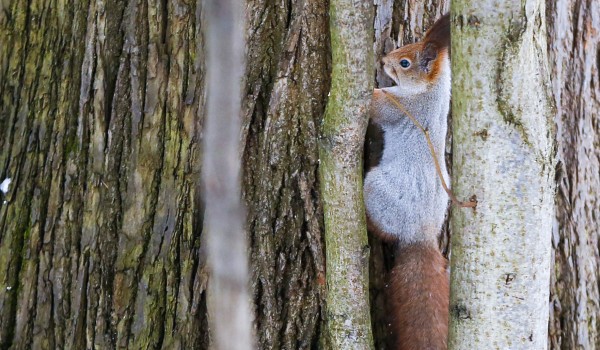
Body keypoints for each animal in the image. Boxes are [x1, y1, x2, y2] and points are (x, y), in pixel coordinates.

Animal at [364, 14, 452, 350]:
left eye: (404, 63)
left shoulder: (401, 108)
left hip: (377, 189)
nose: (383, 60)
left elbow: (377, 105)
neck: (432, 93)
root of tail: (420, 233)